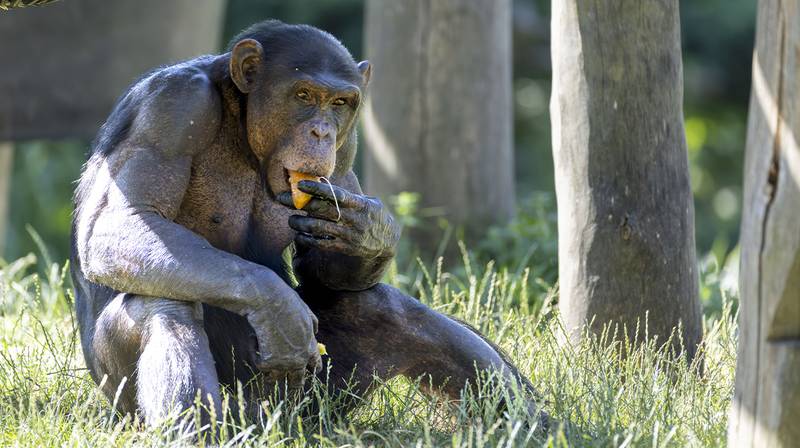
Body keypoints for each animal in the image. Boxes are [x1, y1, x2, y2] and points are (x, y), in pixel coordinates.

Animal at [70, 20, 544, 428]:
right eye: (303, 95)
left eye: (339, 103)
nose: (321, 132)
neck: (242, 123)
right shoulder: (171, 108)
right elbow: (125, 221)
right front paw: (278, 308)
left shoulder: (349, 146)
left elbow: (322, 266)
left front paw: (370, 234)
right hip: (148, 402)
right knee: (165, 306)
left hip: (316, 404)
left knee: (379, 307)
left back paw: (533, 425)